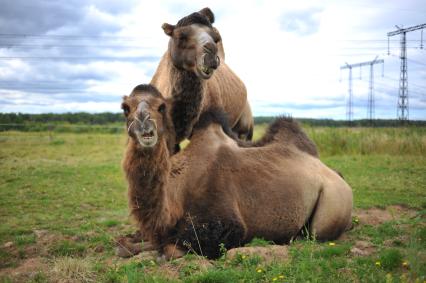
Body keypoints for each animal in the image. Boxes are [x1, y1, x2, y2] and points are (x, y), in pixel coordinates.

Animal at [120, 85, 352, 260]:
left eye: (161, 107)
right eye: (125, 108)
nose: (143, 122)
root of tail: (337, 175)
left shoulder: (227, 225)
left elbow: (170, 248)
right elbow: (124, 244)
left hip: (333, 202)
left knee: (316, 233)